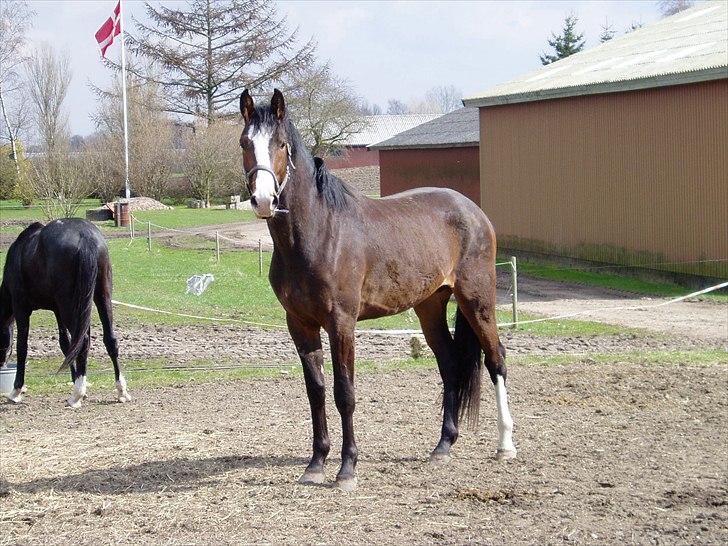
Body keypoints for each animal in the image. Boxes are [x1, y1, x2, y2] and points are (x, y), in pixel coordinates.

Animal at [0, 217, 131, 404]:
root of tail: (86, 237)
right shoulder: (57, 311)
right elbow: (66, 344)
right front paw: (75, 378)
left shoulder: (21, 309)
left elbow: (22, 347)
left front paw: (16, 391)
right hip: (100, 298)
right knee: (108, 340)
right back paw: (120, 391)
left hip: (70, 305)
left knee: (83, 342)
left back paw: (77, 395)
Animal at [242, 88, 516, 488]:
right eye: (245, 142)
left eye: (280, 144)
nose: (263, 200)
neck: (320, 233)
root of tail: (473, 211)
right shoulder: (300, 325)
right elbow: (316, 391)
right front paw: (315, 464)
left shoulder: (341, 323)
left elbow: (344, 393)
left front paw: (347, 469)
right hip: (430, 305)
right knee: (449, 362)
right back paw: (443, 446)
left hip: (477, 299)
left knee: (496, 358)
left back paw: (505, 444)